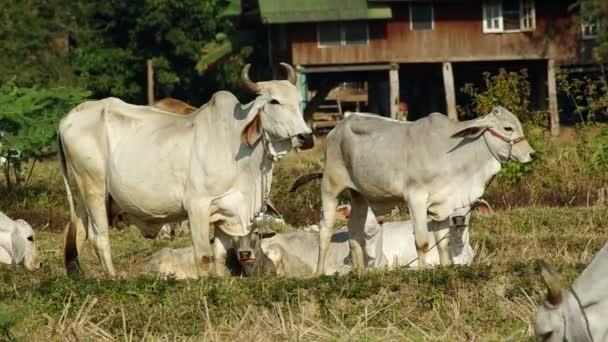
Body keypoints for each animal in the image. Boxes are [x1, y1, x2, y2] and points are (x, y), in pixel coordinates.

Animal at [58, 63, 314, 278]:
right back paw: (113, 277)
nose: (307, 137)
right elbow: (203, 256)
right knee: (99, 237)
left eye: (297, 100)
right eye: (274, 101)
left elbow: (220, 255)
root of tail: (68, 118)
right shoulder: (197, 207)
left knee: (78, 231)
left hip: (85, 193)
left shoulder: (227, 212)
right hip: (94, 189)